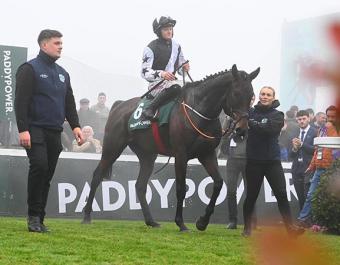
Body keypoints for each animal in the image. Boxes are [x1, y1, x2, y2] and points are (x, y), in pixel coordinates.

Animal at [83, 64, 260, 231]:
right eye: (236, 94)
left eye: (251, 95)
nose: (242, 129)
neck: (199, 111)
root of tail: (119, 105)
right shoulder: (181, 155)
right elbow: (181, 188)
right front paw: (181, 223)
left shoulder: (207, 154)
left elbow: (218, 183)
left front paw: (202, 222)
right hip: (113, 147)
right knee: (97, 175)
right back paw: (86, 216)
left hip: (147, 155)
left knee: (140, 185)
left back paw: (151, 221)